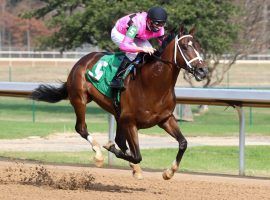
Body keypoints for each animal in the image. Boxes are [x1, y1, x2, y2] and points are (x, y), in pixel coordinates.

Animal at [31, 24, 209, 180]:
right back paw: (98, 154)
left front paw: (169, 172)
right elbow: (137, 155)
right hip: (79, 98)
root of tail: (83, 60)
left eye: (199, 46)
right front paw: (110, 148)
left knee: (119, 140)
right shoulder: (130, 121)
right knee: (81, 128)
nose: (203, 70)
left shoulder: (165, 119)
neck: (153, 84)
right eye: (185, 47)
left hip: (117, 114)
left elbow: (183, 143)